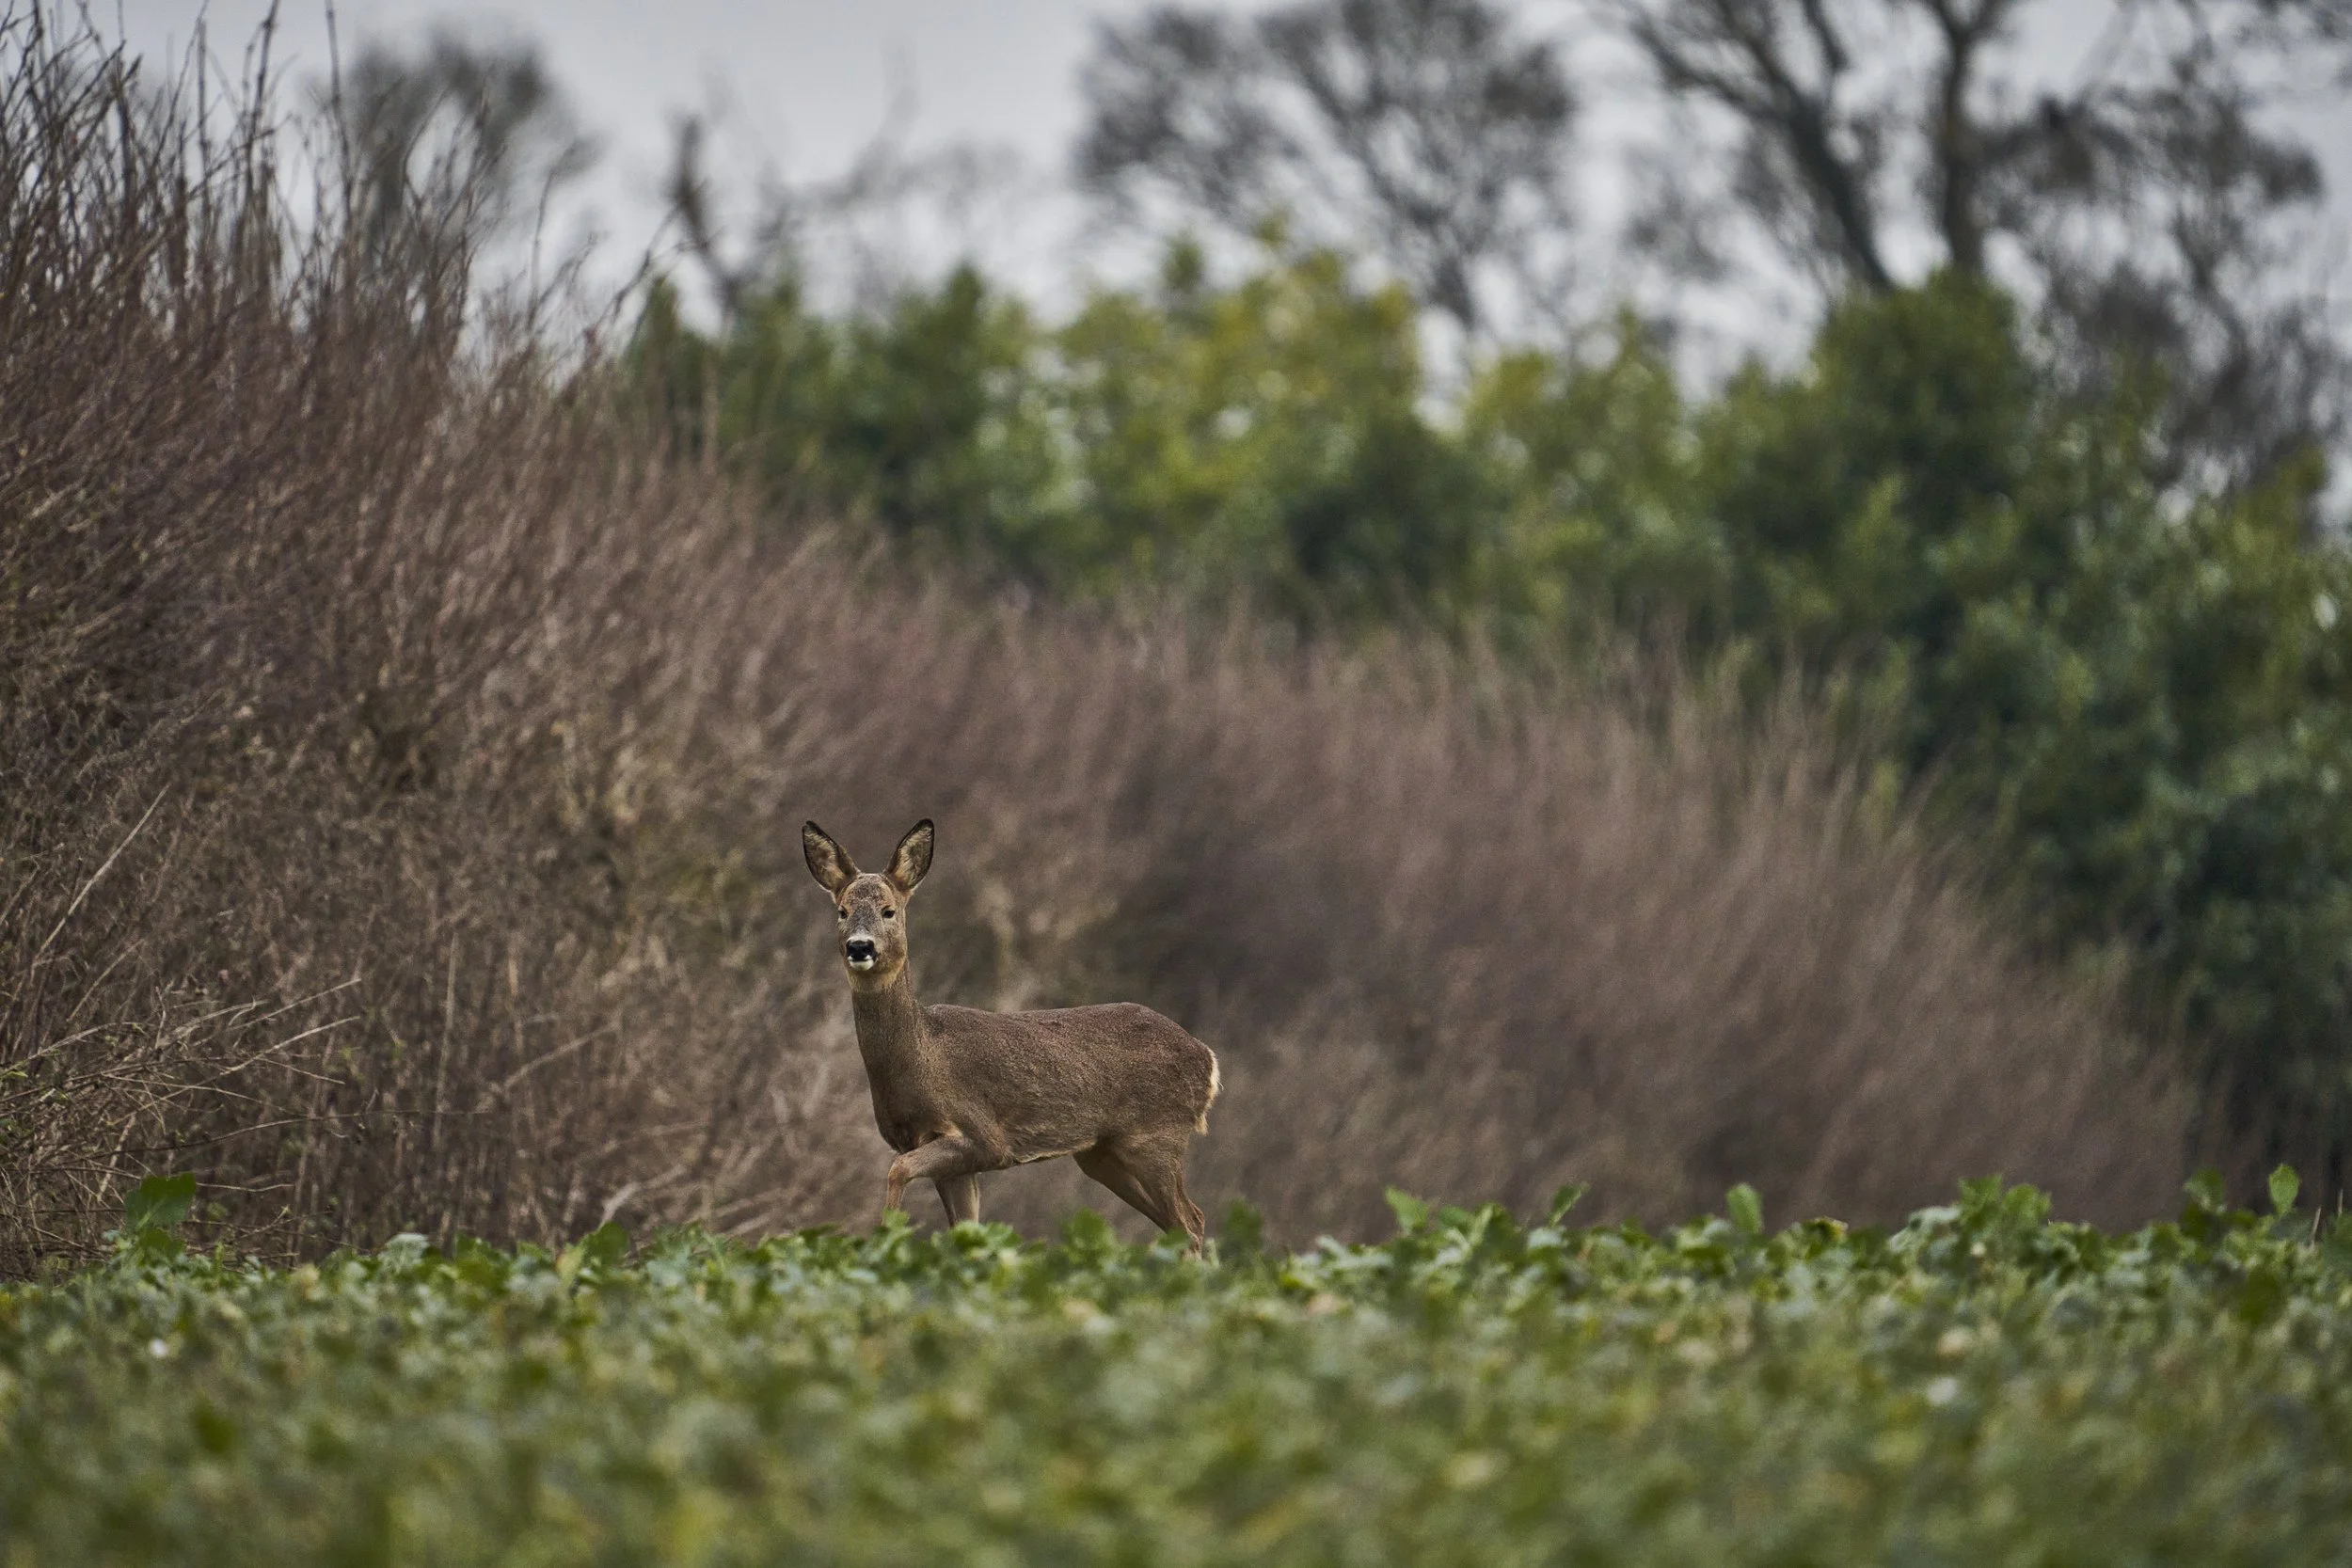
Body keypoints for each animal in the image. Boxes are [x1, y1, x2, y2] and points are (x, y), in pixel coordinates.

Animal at [802, 818, 1220, 1253]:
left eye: (889, 911)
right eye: (842, 911)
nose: (860, 947)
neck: (924, 1056)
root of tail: (1206, 1057)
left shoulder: (984, 1137)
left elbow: (897, 1170)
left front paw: (885, 1238)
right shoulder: (946, 1159)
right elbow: (965, 1231)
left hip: (1156, 1136)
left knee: (1190, 1221)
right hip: (1103, 1152)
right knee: (1181, 1221)